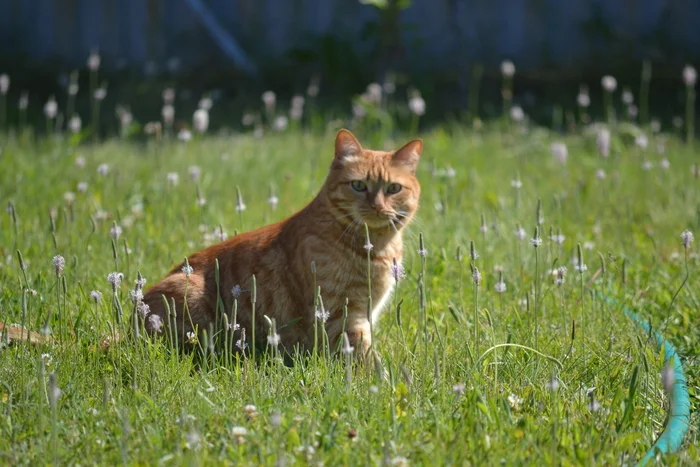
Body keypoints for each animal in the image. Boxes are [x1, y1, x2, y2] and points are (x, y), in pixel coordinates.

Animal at [142, 131, 422, 358]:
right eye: (358, 185)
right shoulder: (341, 313)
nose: (377, 207)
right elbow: (364, 356)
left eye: (393, 188)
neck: (375, 246)